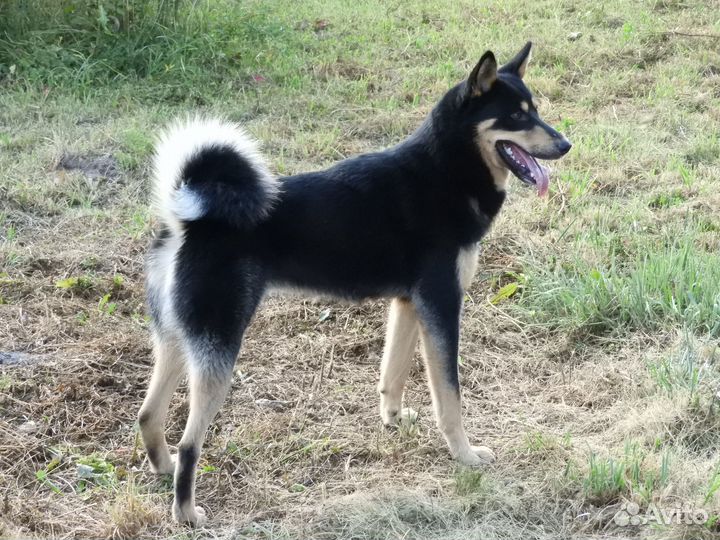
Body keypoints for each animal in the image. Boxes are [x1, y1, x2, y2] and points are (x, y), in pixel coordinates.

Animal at [138, 42, 572, 524]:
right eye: (515, 117)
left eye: (535, 111)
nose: (565, 144)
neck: (444, 171)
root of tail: (188, 220)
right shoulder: (442, 305)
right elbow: (449, 396)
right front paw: (465, 456)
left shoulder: (408, 304)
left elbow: (393, 374)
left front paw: (394, 421)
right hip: (218, 350)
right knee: (189, 442)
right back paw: (187, 513)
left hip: (177, 340)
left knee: (148, 415)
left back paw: (162, 469)